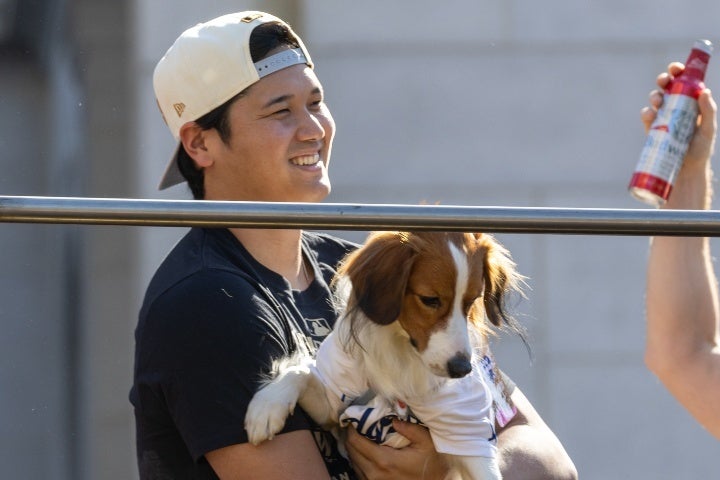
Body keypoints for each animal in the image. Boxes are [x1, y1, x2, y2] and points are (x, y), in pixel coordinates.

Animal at [245, 231, 524, 478]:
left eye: (471, 301)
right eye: (430, 299)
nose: (462, 369)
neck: (401, 349)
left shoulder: (467, 433)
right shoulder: (333, 405)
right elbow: (299, 372)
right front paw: (266, 407)